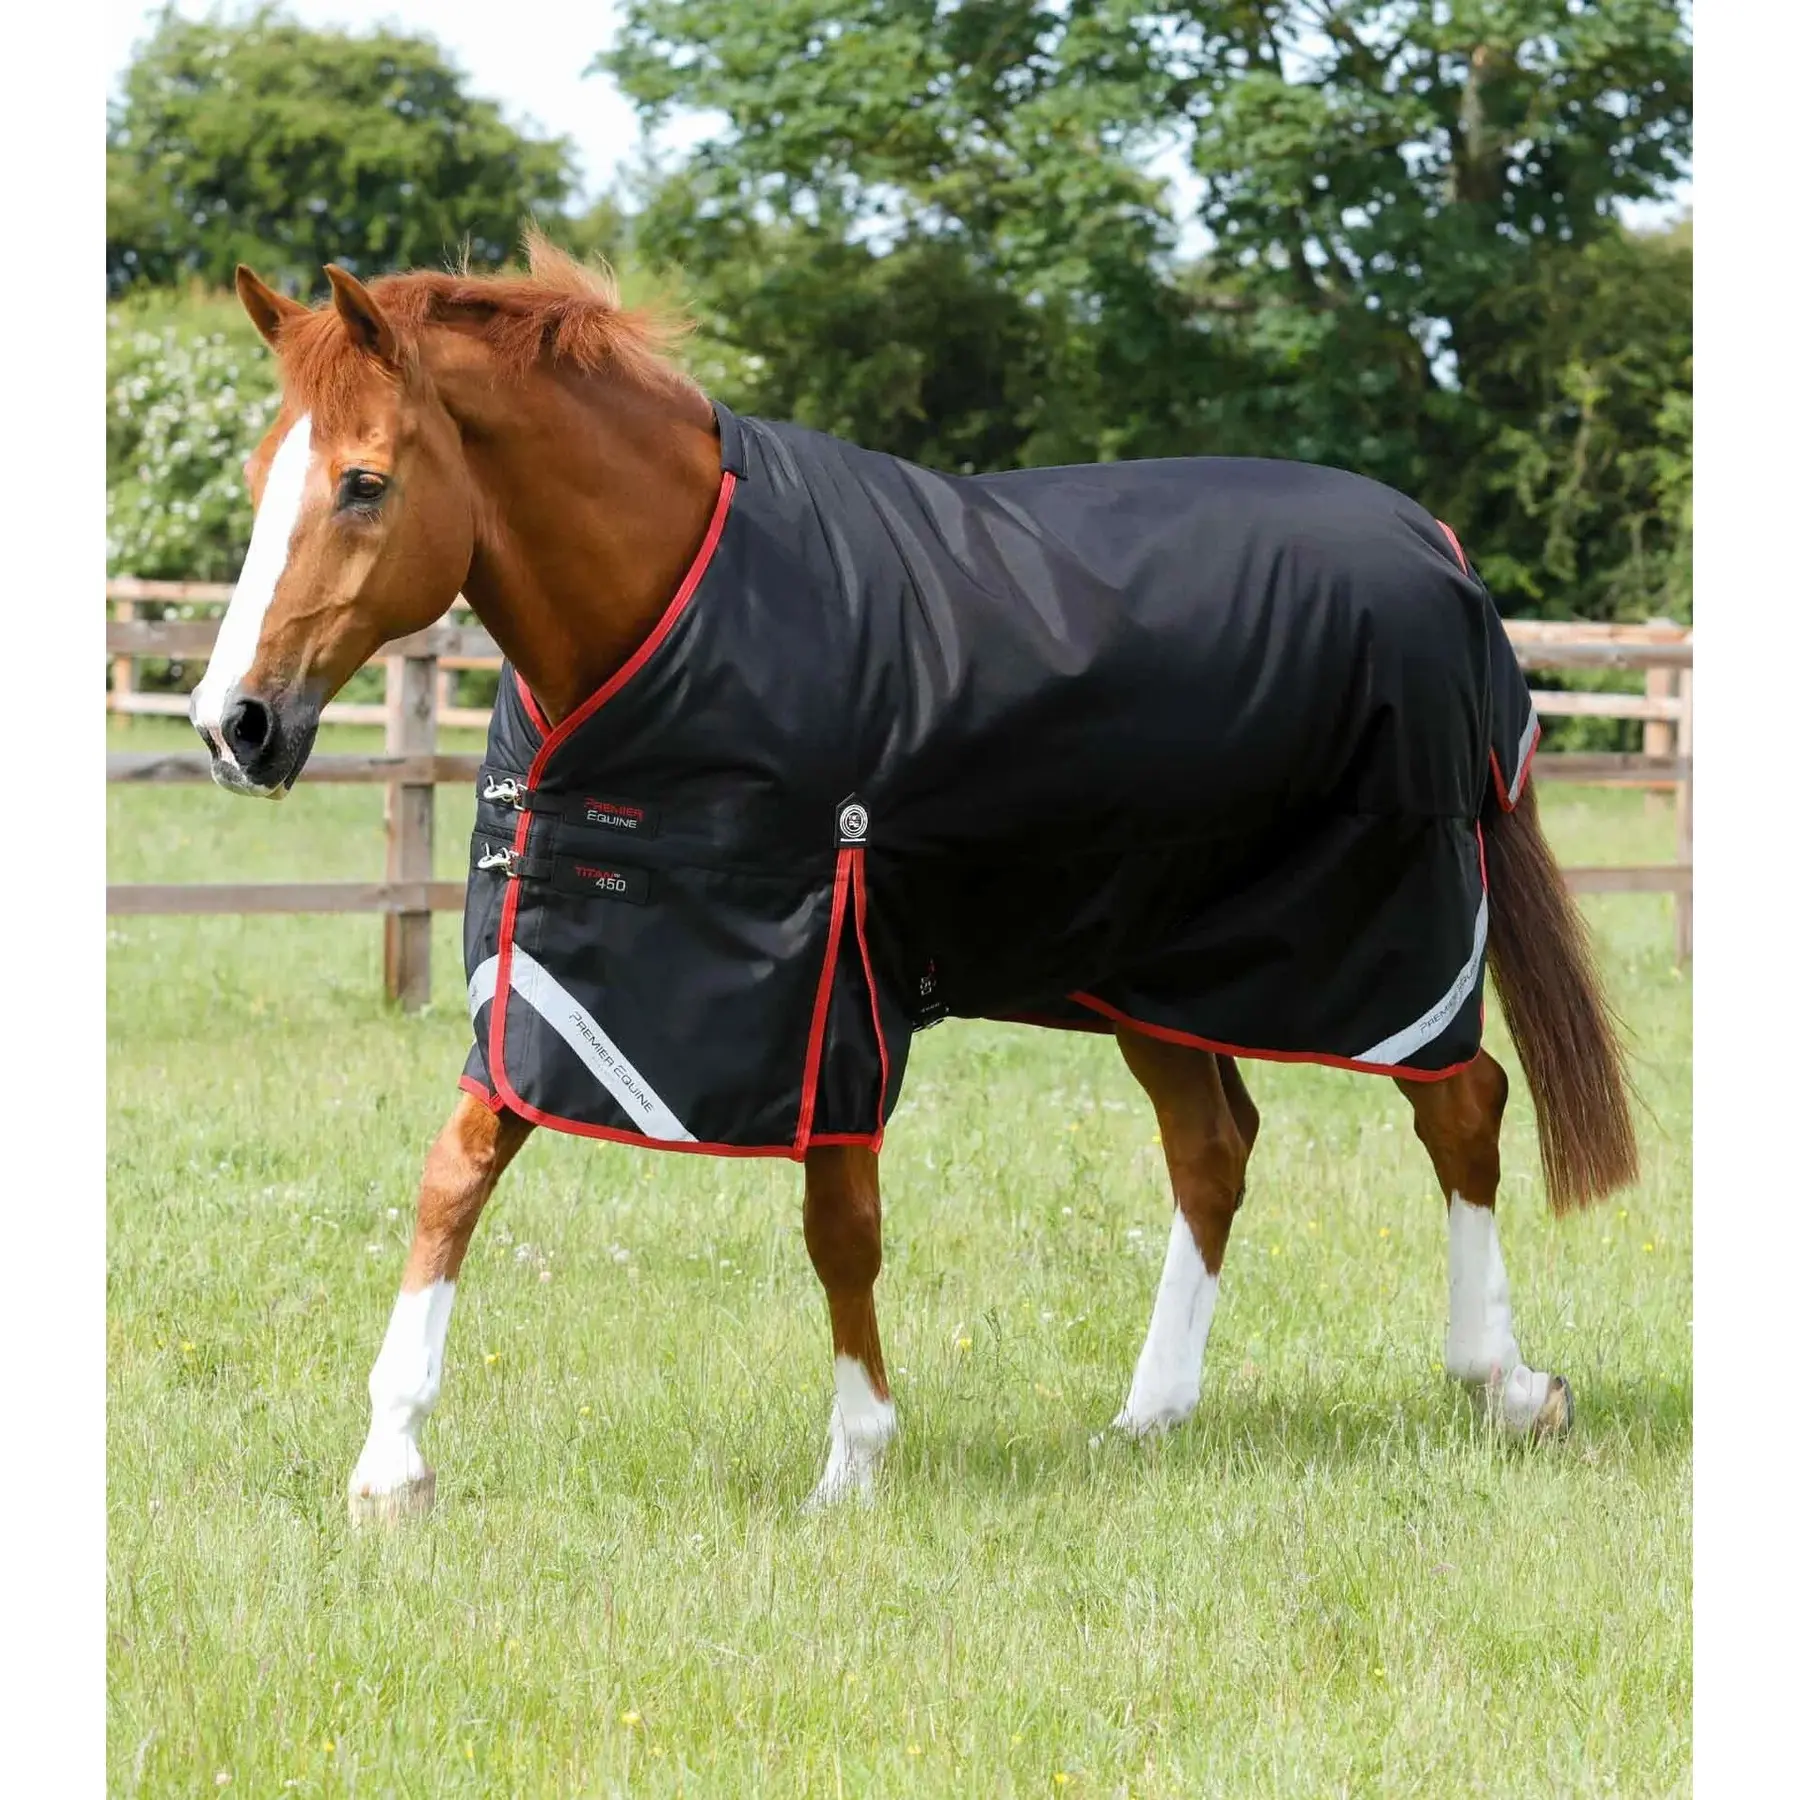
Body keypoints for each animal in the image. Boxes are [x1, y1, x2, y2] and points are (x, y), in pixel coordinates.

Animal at [193, 234, 1637, 1523]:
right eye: (266, 474)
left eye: (364, 482)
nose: (233, 724)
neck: (681, 610)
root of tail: (1436, 542)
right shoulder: (563, 975)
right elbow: (456, 1172)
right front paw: (389, 1466)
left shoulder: (827, 973)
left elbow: (840, 1220)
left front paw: (854, 1462)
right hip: (1149, 961)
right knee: (1214, 1148)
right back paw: (1150, 1414)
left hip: (1395, 931)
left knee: (1461, 1106)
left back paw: (1509, 1386)